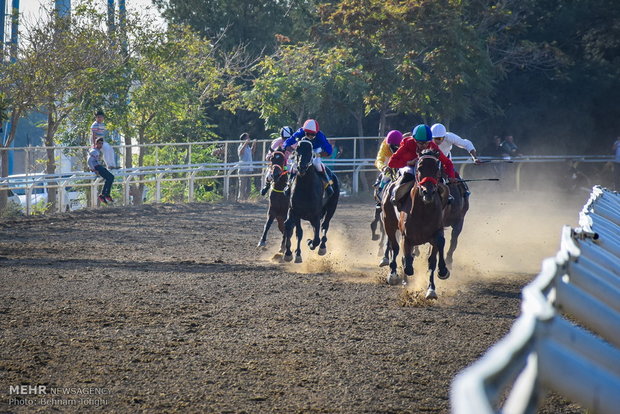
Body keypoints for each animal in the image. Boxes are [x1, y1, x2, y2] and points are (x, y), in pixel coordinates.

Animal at [380, 150, 448, 300]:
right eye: (419, 168)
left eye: (437, 169)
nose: (428, 192)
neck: (423, 210)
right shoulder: (406, 236)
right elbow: (407, 262)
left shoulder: (436, 232)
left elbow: (434, 256)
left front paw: (434, 284)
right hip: (388, 223)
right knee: (395, 247)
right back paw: (393, 275)